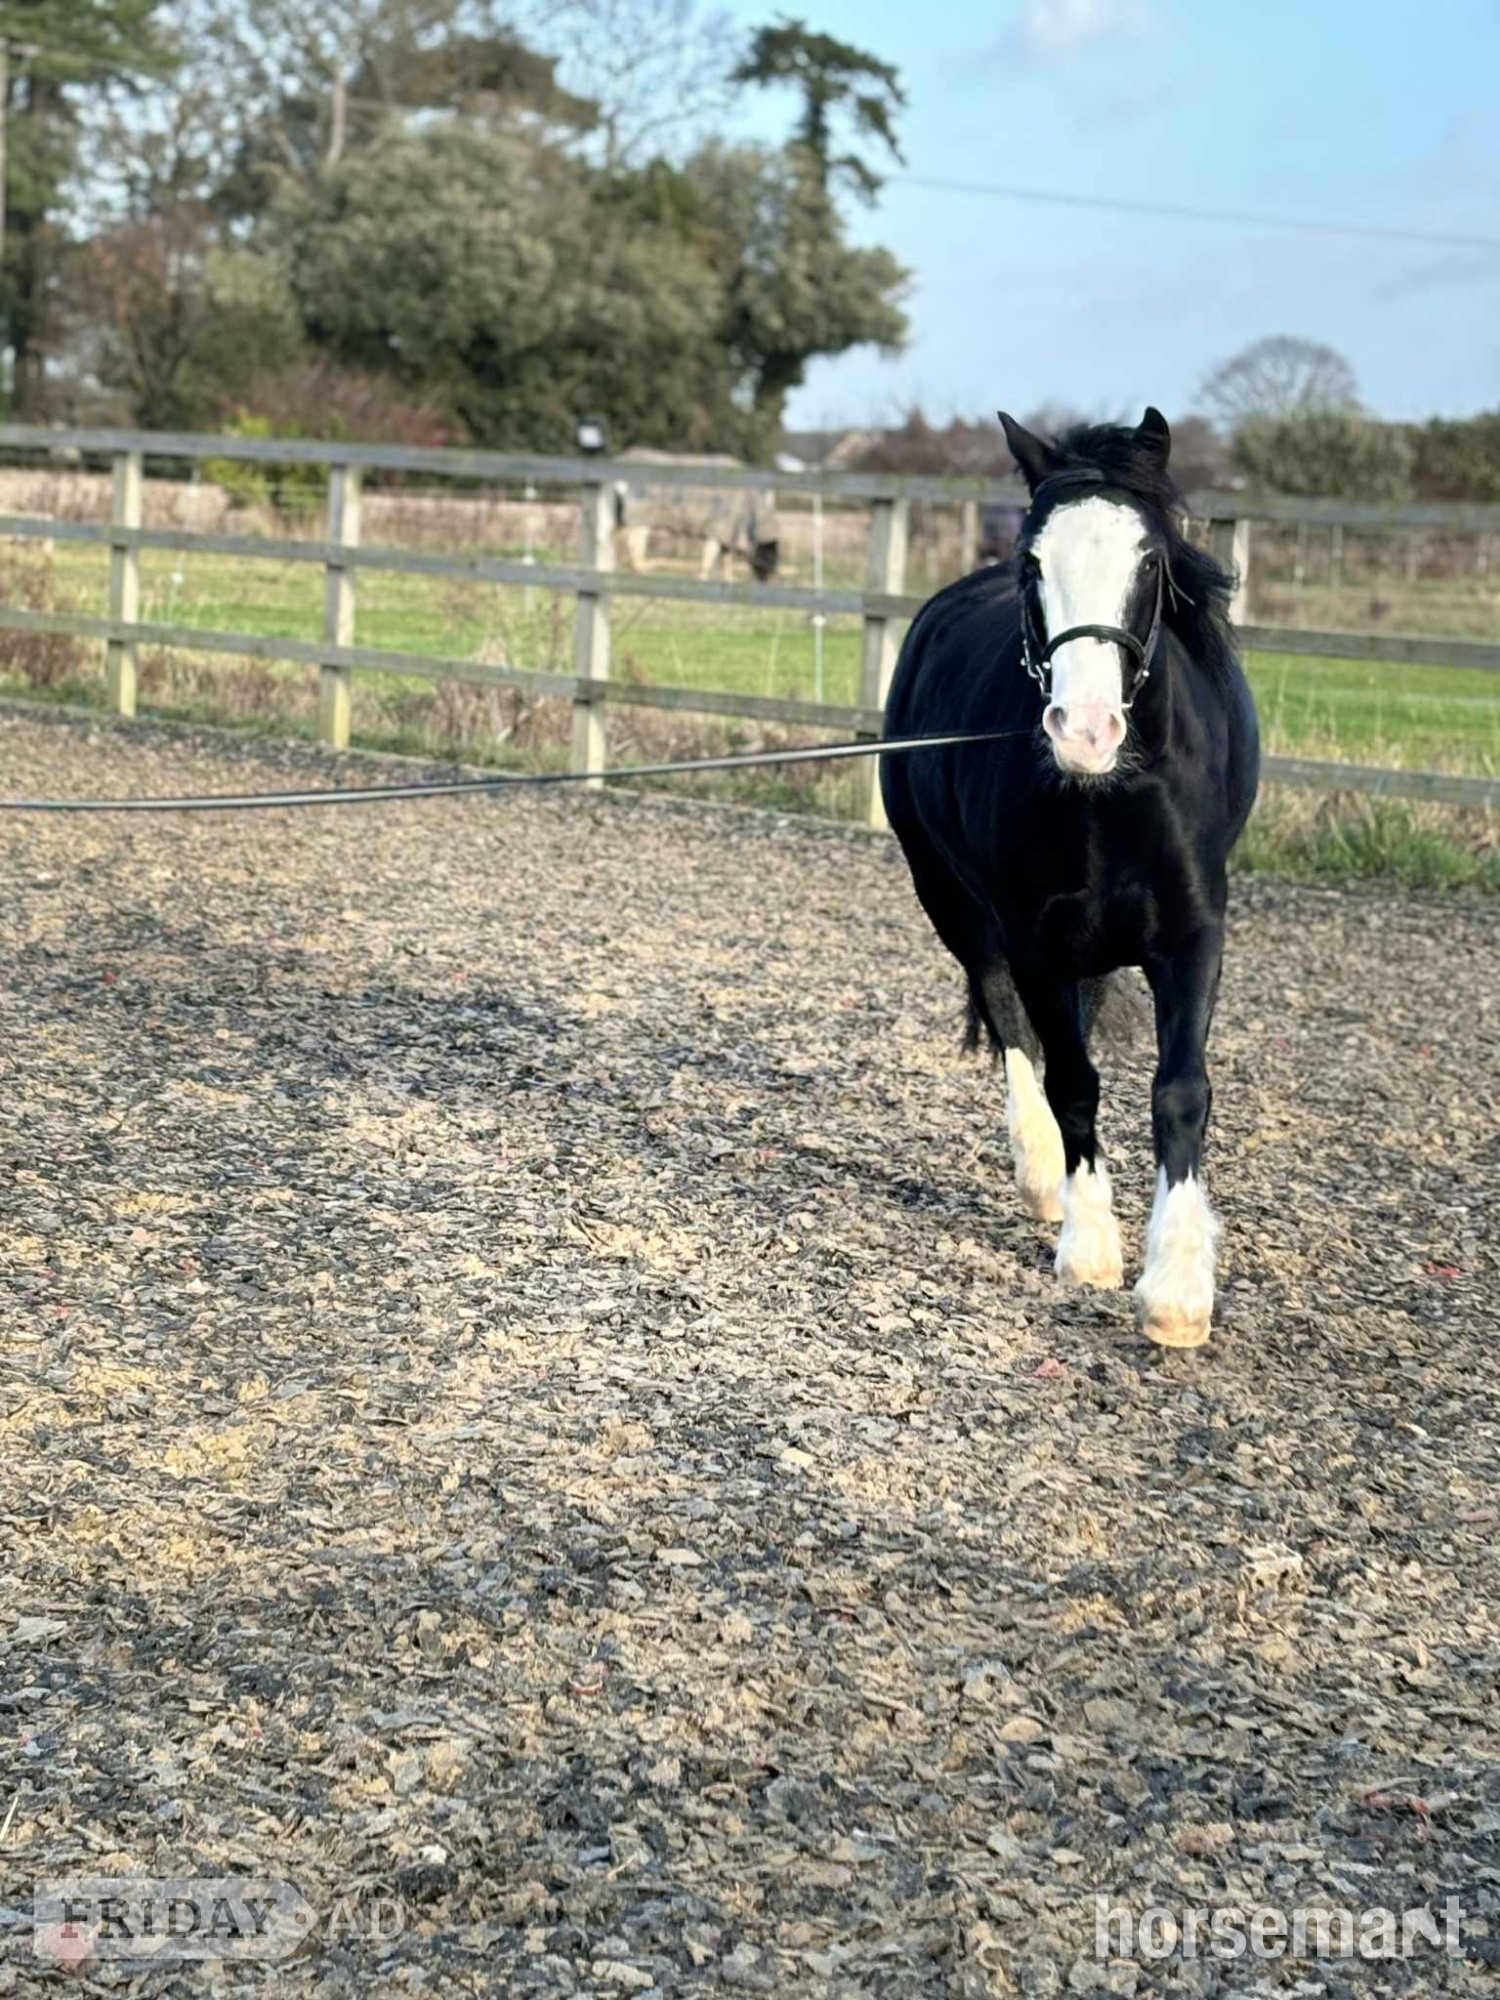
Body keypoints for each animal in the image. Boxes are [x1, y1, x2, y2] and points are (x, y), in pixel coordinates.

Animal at [881, 408, 1260, 1348]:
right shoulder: (1039, 942)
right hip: (949, 898)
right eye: (1034, 562)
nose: (1084, 731)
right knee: (1007, 1018)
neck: (1111, 796)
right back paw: (1043, 1173)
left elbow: (1180, 1091)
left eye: (1151, 561)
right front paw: (1091, 1248)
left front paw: (1178, 1291)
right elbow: (1072, 1082)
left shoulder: (1194, 937)